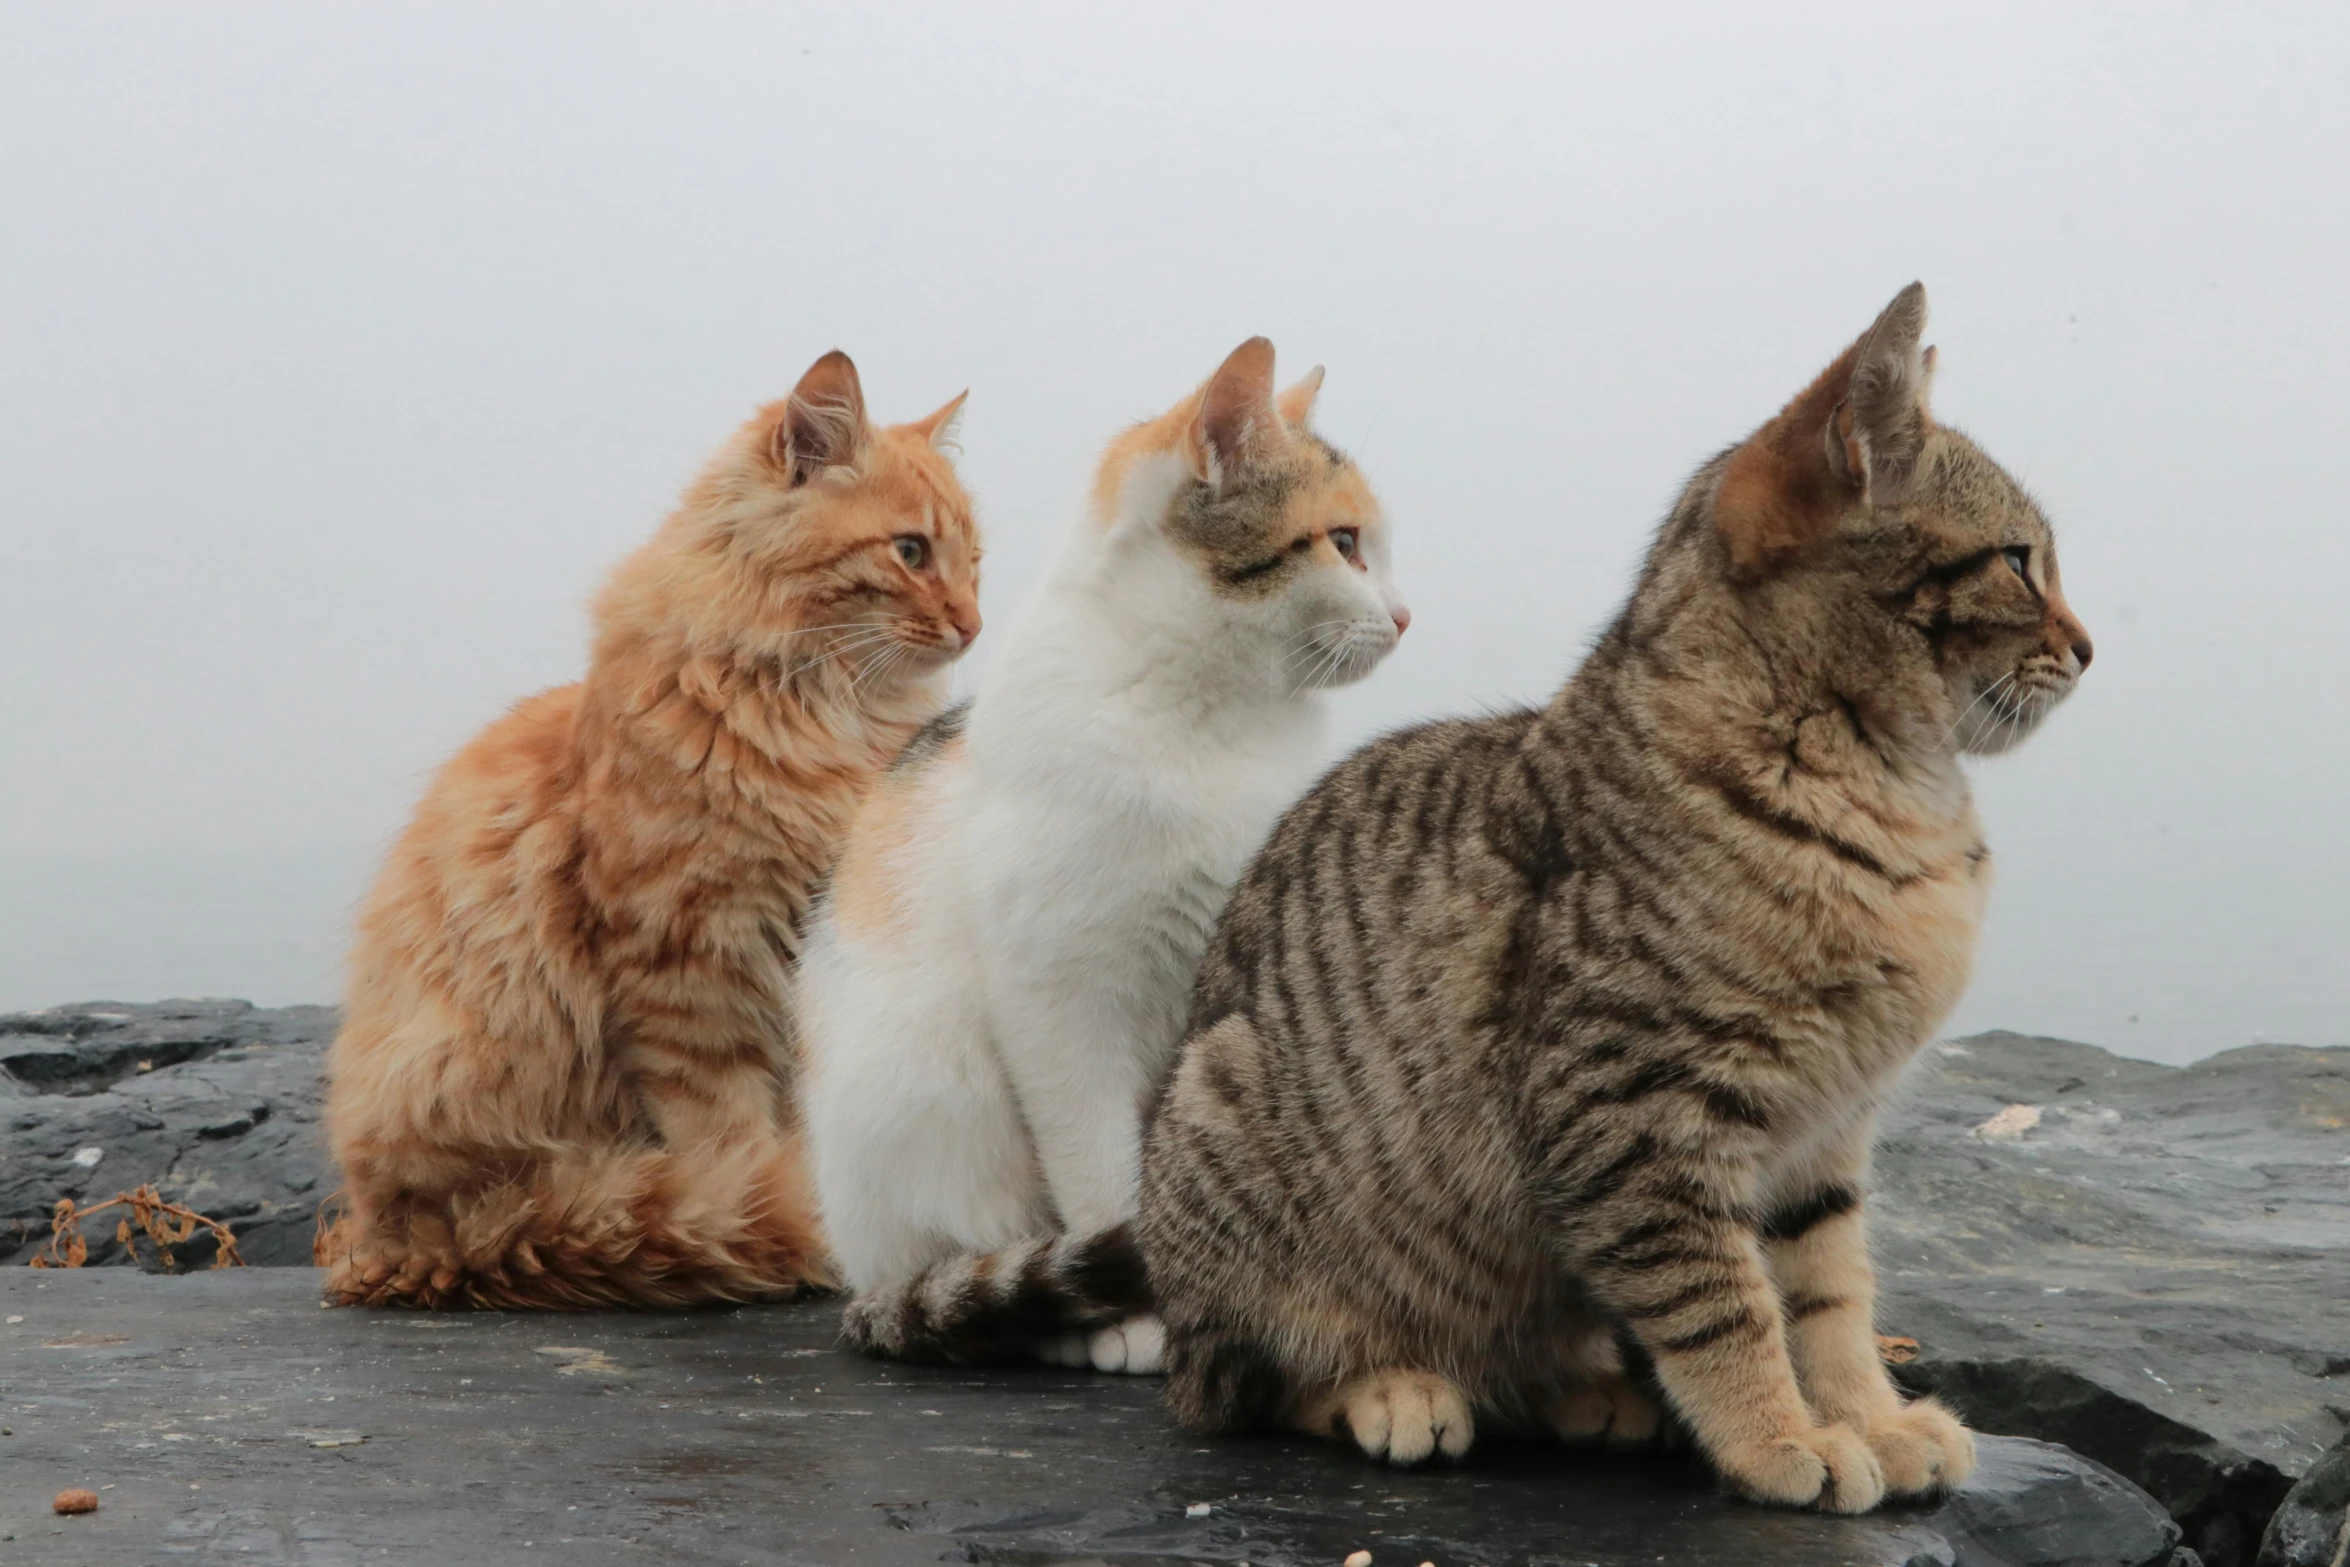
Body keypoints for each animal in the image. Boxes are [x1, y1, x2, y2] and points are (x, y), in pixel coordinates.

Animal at [317, 354, 977, 1315]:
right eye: (912, 551)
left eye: (975, 561)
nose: (972, 622)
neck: (823, 720)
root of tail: (376, 1240)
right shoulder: (687, 966)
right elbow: (729, 1140)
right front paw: (776, 1211)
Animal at [798, 340, 1400, 1372]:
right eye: (1346, 541)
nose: (1404, 615)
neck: (1215, 719)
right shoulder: (1062, 995)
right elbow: (1102, 1168)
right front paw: (1141, 1314)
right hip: (930, 1090)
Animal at [1137, 287, 2096, 1512]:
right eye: (2020, 561)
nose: (2089, 645)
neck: (1884, 790)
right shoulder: (1633, 1115)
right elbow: (1723, 1304)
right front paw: (1779, 1436)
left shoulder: (1825, 1140)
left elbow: (1829, 1298)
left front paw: (1865, 1415)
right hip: (1226, 1138)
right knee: (1244, 1379)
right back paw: (1394, 1387)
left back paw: (1583, 1394)